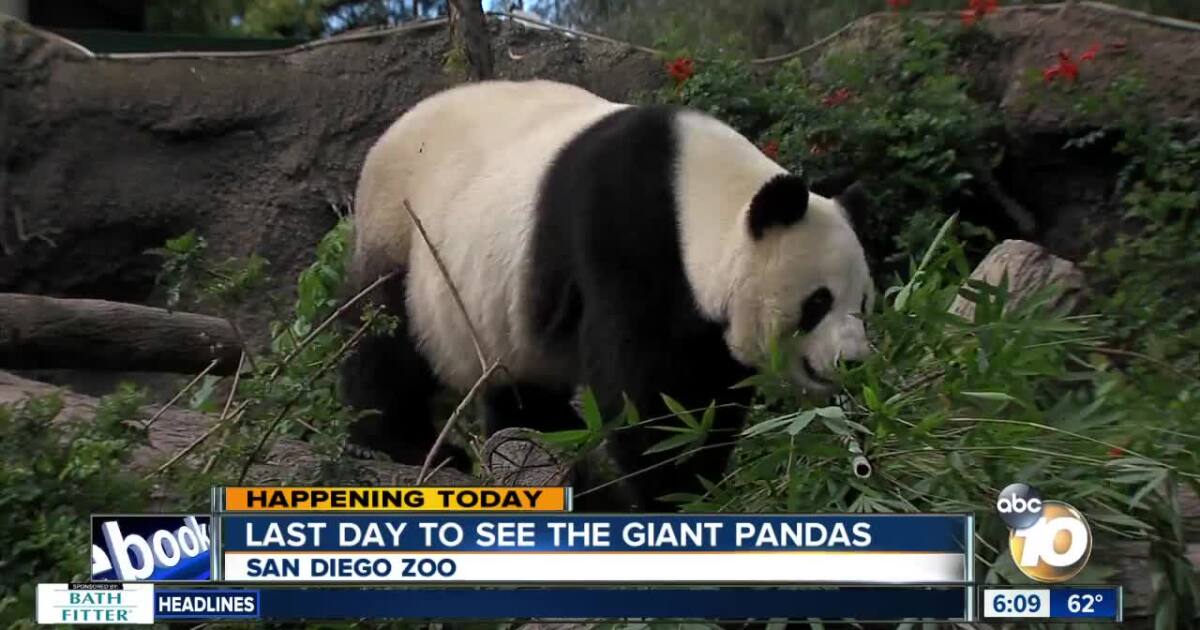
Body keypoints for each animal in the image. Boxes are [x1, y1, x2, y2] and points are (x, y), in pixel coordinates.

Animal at [341, 80, 874, 510]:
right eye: (818, 303)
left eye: (863, 305)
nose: (852, 362)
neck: (698, 196)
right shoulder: (624, 237)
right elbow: (645, 388)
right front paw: (674, 490)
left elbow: (708, 396)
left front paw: (702, 476)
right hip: (405, 236)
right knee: (386, 339)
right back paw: (403, 443)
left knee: (518, 386)